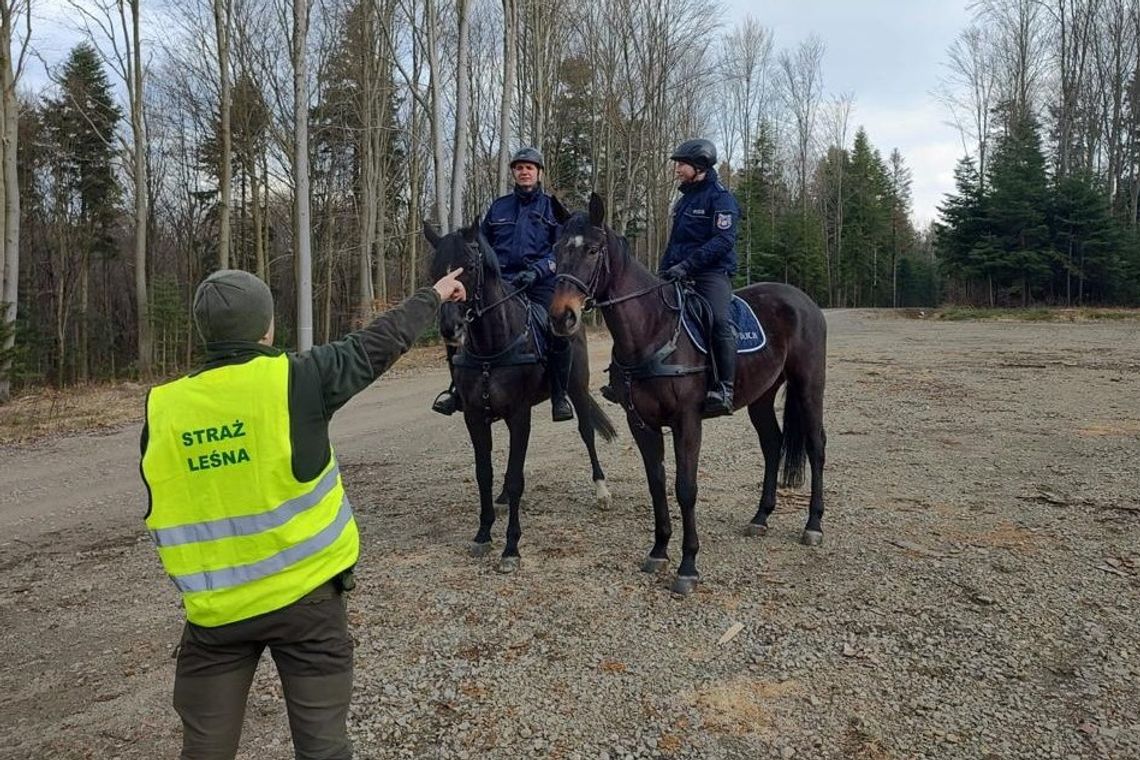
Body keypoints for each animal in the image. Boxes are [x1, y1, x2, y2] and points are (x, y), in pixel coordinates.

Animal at [547, 194, 825, 592]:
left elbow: (685, 487)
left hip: (808, 386)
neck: (653, 330)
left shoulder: (688, 422)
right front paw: (659, 550)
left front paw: (688, 565)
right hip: (762, 396)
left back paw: (813, 525)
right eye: (556, 249)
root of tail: (803, 299)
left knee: (816, 446)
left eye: (593, 249)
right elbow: (657, 483)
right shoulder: (641, 423)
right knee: (773, 444)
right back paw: (761, 517)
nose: (561, 317)